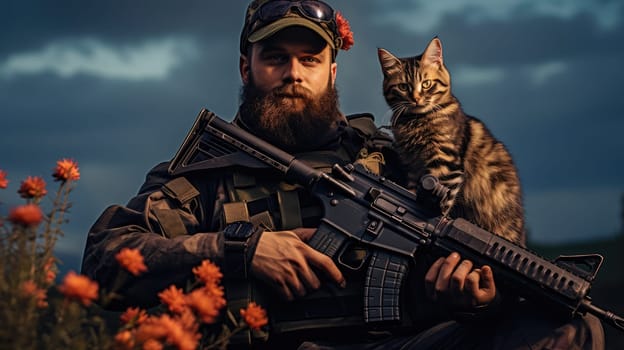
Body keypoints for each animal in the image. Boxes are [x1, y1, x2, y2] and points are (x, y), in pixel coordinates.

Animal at [378, 37, 524, 243]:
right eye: (403, 87)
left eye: (426, 84)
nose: (416, 99)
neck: (416, 121)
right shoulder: (413, 168)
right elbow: (412, 194)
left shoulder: (446, 166)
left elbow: (439, 210)